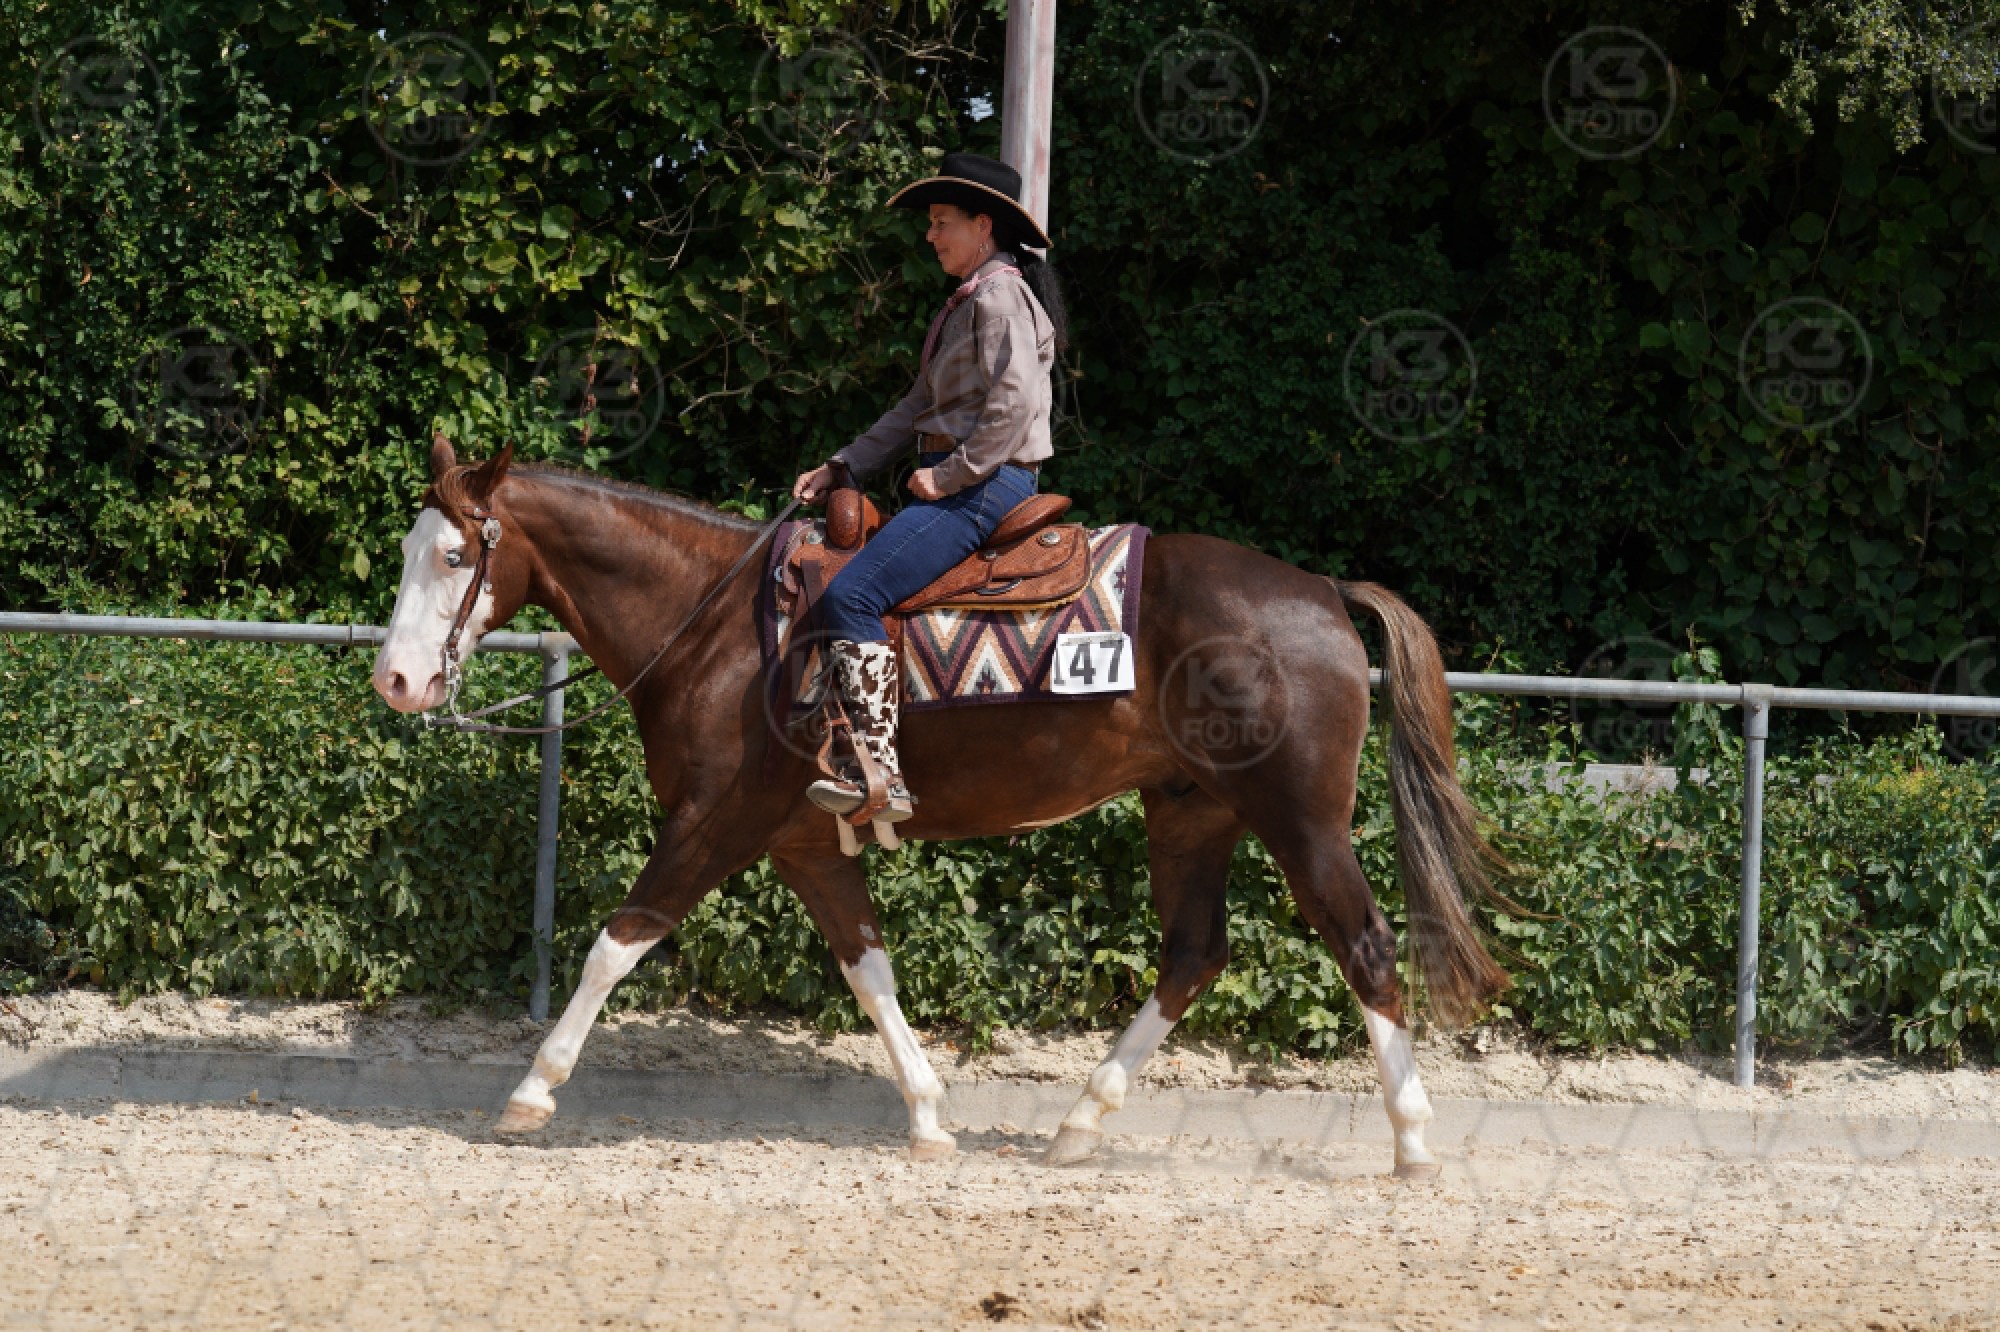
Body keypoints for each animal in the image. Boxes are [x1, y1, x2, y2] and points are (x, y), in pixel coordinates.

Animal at [370, 436, 1508, 1176]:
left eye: (455, 554)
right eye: (409, 550)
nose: (397, 681)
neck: (720, 628)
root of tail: (1321, 593)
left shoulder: (713, 823)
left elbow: (617, 941)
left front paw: (531, 1092)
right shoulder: (803, 844)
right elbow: (867, 966)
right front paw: (926, 1115)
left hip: (1300, 821)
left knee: (1364, 946)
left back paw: (1411, 1141)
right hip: (1192, 812)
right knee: (1193, 953)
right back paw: (1079, 1123)